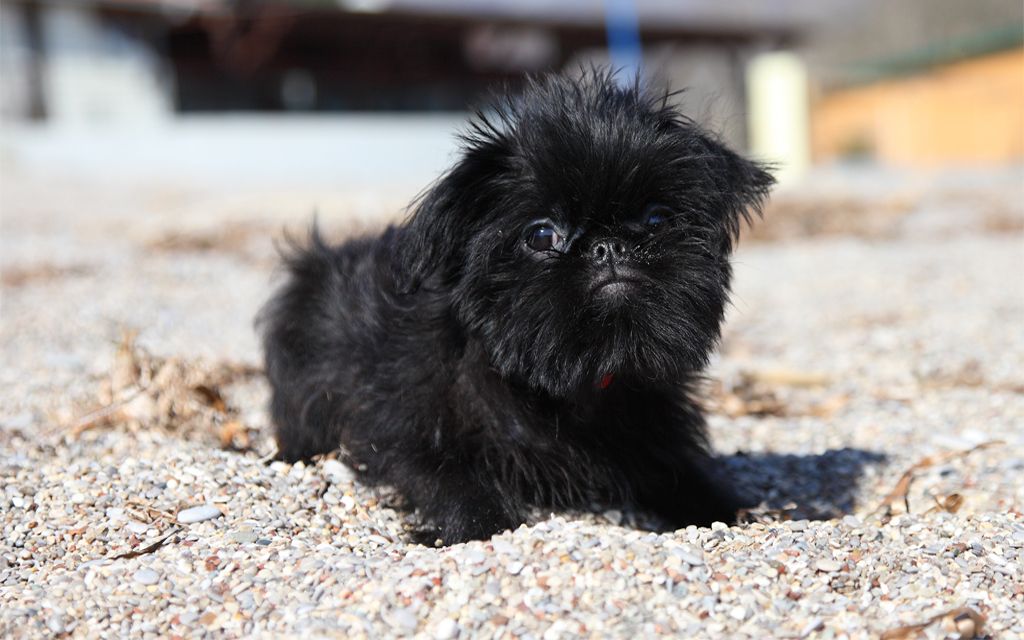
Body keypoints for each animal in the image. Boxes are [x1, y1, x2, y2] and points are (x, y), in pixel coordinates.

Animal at [260, 71, 770, 544]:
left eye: (657, 219)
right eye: (542, 235)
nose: (608, 246)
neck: (571, 379)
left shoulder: (656, 435)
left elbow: (687, 477)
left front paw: (740, 512)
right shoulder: (400, 426)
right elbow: (449, 478)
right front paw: (479, 523)